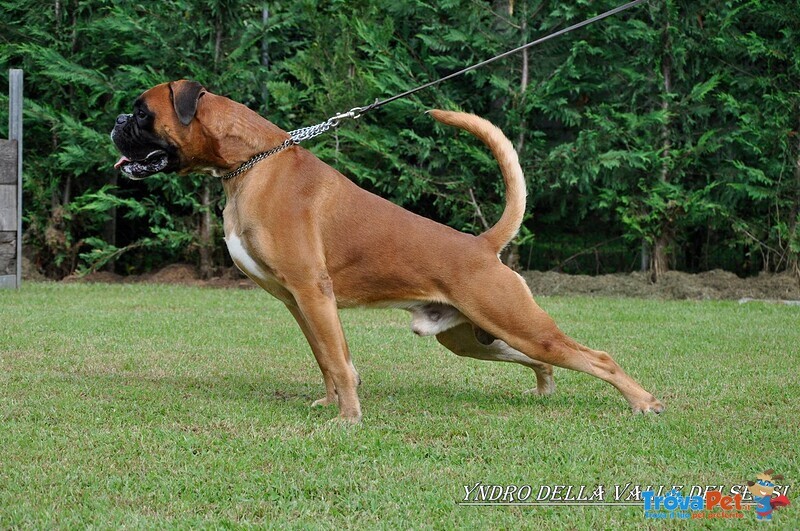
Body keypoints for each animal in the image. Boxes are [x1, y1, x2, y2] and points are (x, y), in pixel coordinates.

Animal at [111, 79, 664, 422]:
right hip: (475, 338)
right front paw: (332, 406)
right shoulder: (299, 303)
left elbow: (338, 361)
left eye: (141, 113)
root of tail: (481, 245)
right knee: (544, 360)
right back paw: (547, 388)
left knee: (597, 357)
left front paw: (349, 419)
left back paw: (644, 403)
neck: (252, 162)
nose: (116, 120)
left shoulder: (313, 294)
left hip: (518, 323)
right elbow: (328, 359)